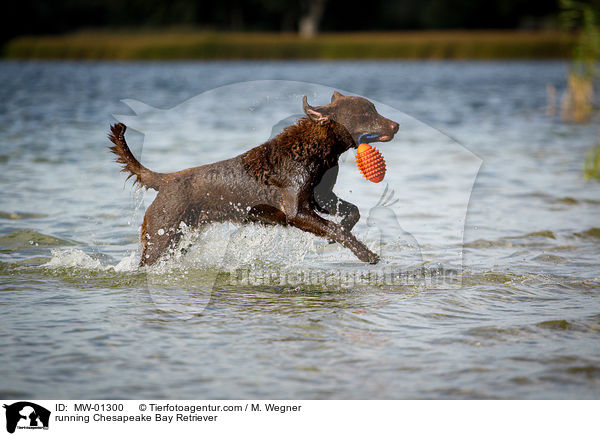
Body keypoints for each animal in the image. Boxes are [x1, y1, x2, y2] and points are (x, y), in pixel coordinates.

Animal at [109, 92, 398, 266]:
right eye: (366, 113)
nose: (396, 125)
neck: (316, 149)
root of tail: (165, 181)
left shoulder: (321, 196)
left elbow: (352, 211)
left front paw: (344, 229)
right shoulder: (296, 211)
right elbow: (334, 228)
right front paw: (366, 254)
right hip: (162, 235)